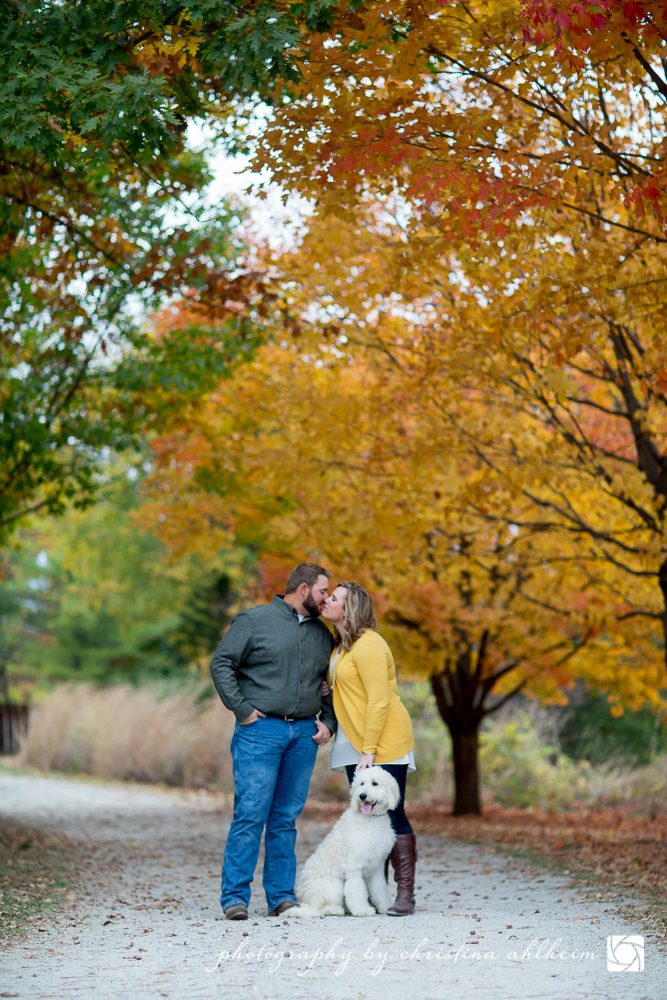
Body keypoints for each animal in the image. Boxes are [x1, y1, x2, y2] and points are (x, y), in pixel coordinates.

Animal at [290, 764, 400, 920]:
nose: (362, 796)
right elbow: (356, 889)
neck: (370, 819)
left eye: (375, 783)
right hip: (332, 884)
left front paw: (385, 906)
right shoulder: (353, 866)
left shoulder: (377, 866)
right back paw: (335, 910)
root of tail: (303, 898)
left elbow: (379, 888)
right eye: (361, 784)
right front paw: (362, 910)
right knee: (320, 907)